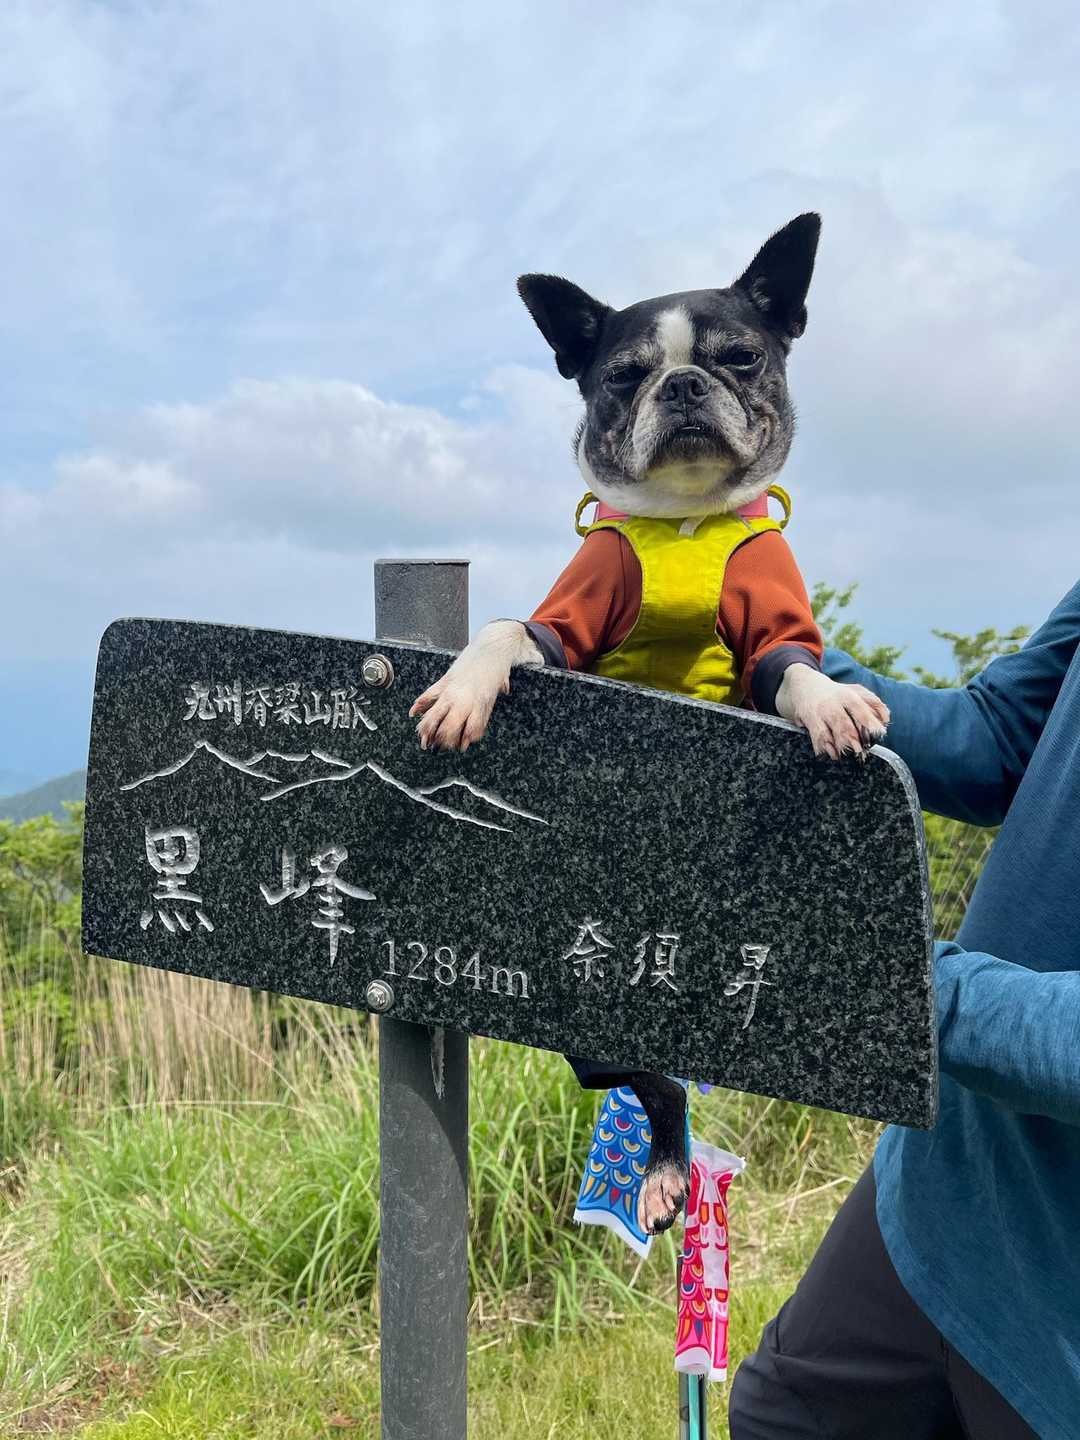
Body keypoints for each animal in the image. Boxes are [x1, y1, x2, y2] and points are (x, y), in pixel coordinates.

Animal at [410, 214, 890, 1236]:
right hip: (590, 1039)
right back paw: (665, 1167)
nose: (681, 385)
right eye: (624, 375)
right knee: (656, 1083)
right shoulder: (565, 624)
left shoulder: (776, 630)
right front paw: (464, 689)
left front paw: (832, 703)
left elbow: (792, 671)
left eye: (742, 357)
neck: (682, 526)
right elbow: (507, 630)